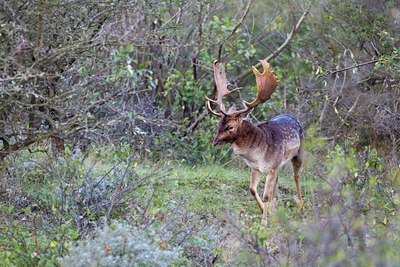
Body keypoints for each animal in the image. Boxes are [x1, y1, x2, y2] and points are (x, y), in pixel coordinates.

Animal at [206, 59, 304, 225]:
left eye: (230, 126)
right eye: (219, 123)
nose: (215, 142)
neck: (257, 154)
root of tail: (293, 117)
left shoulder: (271, 168)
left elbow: (265, 195)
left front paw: (264, 223)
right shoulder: (255, 168)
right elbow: (252, 190)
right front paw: (267, 211)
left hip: (298, 154)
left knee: (296, 177)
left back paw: (302, 208)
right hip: (279, 166)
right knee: (278, 184)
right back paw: (274, 209)